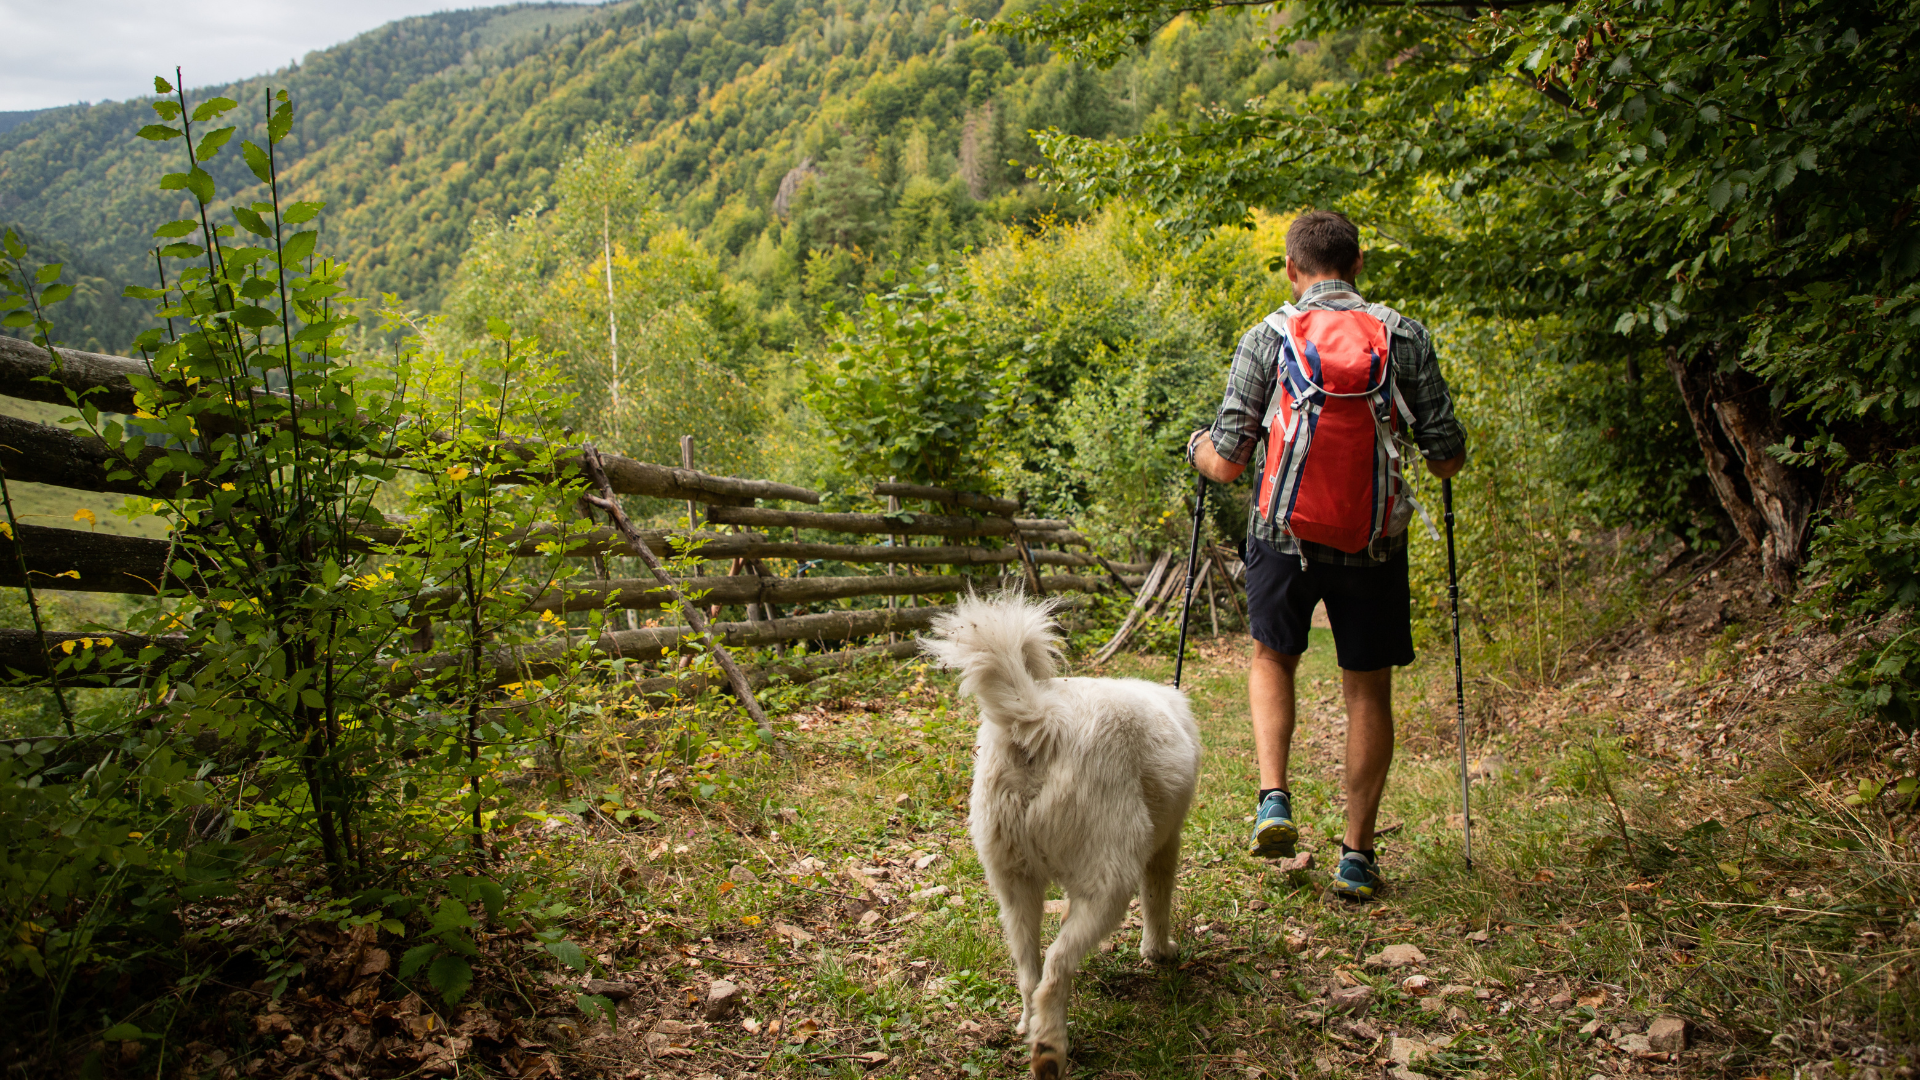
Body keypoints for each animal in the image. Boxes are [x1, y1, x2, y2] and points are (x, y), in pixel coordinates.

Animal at [917, 591, 1198, 1068]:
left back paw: (1028, 1028)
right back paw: (1050, 1049)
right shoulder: (1164, 849)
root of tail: (1042, 721)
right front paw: (1158, 952)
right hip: (1109, 884)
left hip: (1013, 888)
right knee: (1054, 972)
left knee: (1030, 973)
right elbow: (1158, 905)